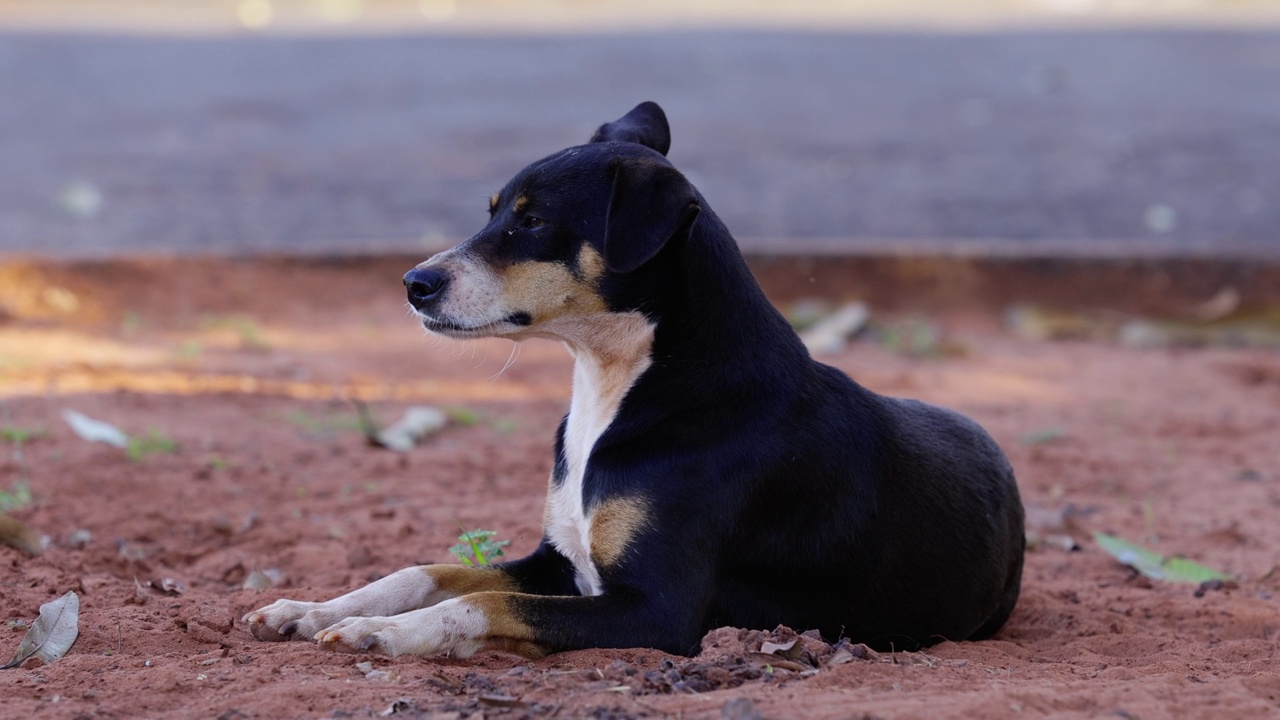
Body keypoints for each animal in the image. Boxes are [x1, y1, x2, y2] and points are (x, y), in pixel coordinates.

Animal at [241, 101, 1029, 655]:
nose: (414, 284)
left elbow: (478, 602)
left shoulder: (658, 610)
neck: (620, 387)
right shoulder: (558, 562)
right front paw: (311, 609)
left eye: (533, 222)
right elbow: (422, 572)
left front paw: (386, 634)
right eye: (493, 212)